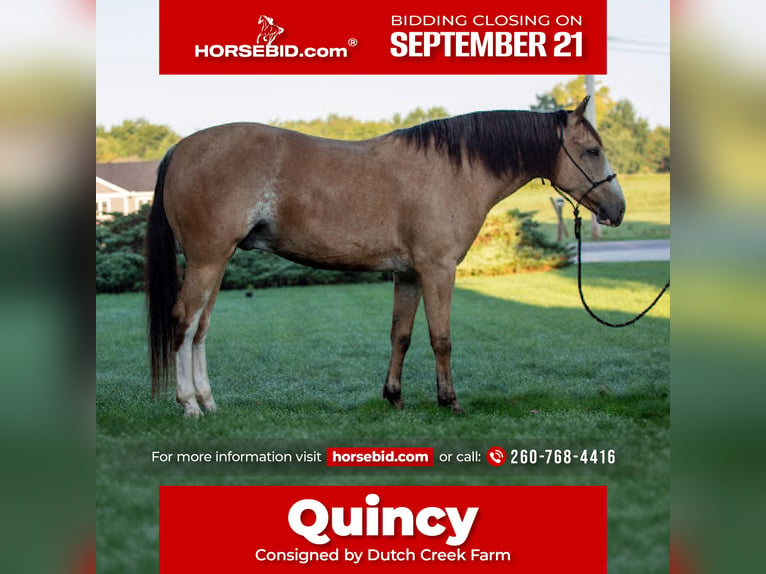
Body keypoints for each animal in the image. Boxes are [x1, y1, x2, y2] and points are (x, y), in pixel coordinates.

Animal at [146, 97, 625, 418]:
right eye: (591, 151)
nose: (618, 209)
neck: (453, 171)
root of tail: (179, 148)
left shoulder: (408, 274)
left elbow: (402, 336)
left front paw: (393, 397)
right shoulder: (437, 270)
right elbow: (441, 338)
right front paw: (449, 401)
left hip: (216, 262)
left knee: (201, 328)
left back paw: (209, 401)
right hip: (207, 260)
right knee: (184, 322)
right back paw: (189, 404)